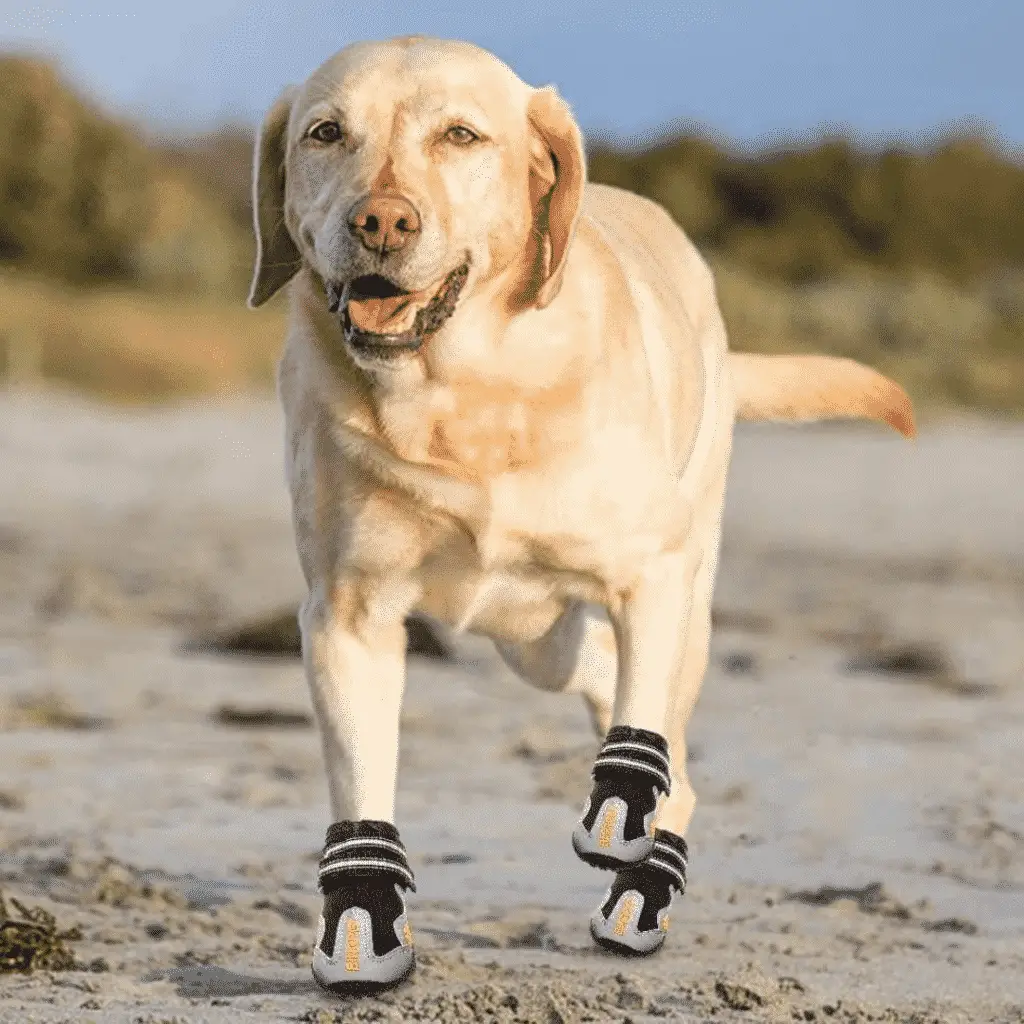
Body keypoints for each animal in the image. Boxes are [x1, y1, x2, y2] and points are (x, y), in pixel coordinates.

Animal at [245, 34, 913, 991]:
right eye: (326, 133)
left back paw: (645, 882)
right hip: (537, 642)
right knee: (596, 672)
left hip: (685, 599)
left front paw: (626, 817)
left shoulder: (653, 575)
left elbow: (640, 731)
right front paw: (361, 923)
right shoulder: (348, 615)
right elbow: (362, 776)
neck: (461, 398)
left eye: (461, 135)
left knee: (668, 738)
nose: (381, 222)